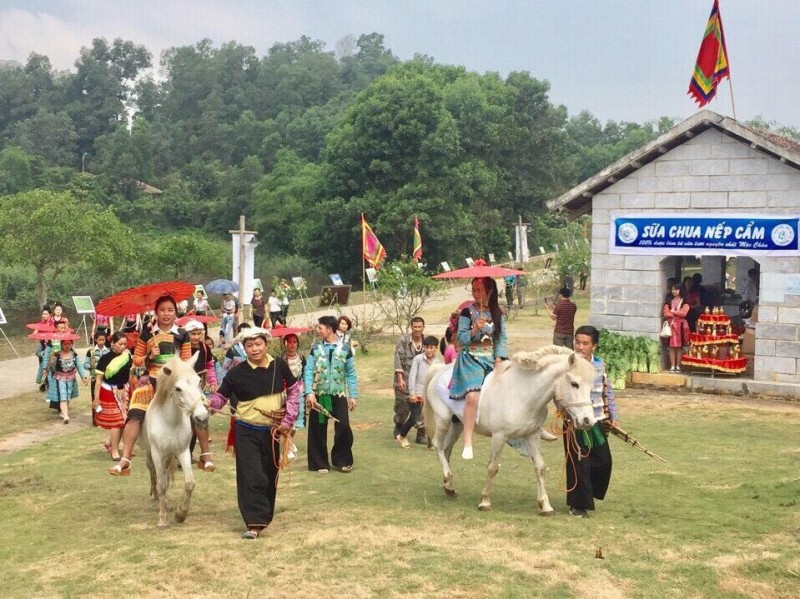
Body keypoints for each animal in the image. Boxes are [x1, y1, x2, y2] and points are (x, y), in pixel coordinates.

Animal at [141, 356, 209, 528]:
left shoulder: (183, 452)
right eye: (178, 388)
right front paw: (162, 519)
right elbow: (161, 485)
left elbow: (189, 483)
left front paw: (180, 514)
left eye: (199, 381)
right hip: (151, 454)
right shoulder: (157, 454)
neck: (170, 422)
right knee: (154, 474)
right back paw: (154, 497)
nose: (202, 417)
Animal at [422, 346, 596, 516]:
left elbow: (540, 467)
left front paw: (545, 505)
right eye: (574, 384)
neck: (523, 395)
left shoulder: (532, 436)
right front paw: (485, 501)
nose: (587, 421)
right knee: (438, 445)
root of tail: (439, 369)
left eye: (591, 387)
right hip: (443, 419)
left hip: (457, 424)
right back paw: (448, 478)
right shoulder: (499, 436)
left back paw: (449, 486)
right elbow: (493, 467)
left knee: (447, 450)